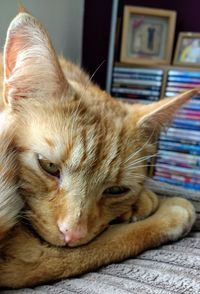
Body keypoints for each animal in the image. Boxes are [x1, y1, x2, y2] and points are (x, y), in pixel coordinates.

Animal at [0, 9, 197, 290]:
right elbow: (96, 249)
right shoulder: (23, 257)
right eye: (49, 166)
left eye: (116, 190)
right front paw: (170, 212)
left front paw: (139, 203)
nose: (72, 234)